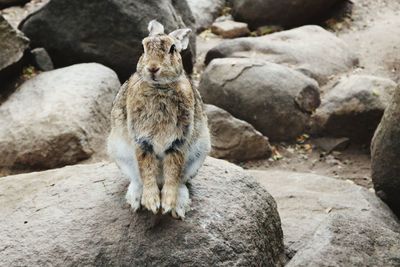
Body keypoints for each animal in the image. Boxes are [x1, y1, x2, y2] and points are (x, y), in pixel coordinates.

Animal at [106, 19, 212, 219]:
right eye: (143, 47)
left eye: (172, 49)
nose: (153, 68)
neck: (160, 88)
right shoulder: (141, 139)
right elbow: (147, 169)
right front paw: (152, 204)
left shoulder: (178, 140)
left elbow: (173, 171)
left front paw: (168, 204)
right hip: (120, 153)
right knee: (137, 178)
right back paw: (136, 200)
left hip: (199, 153)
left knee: (181, 181)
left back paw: (179, 206)